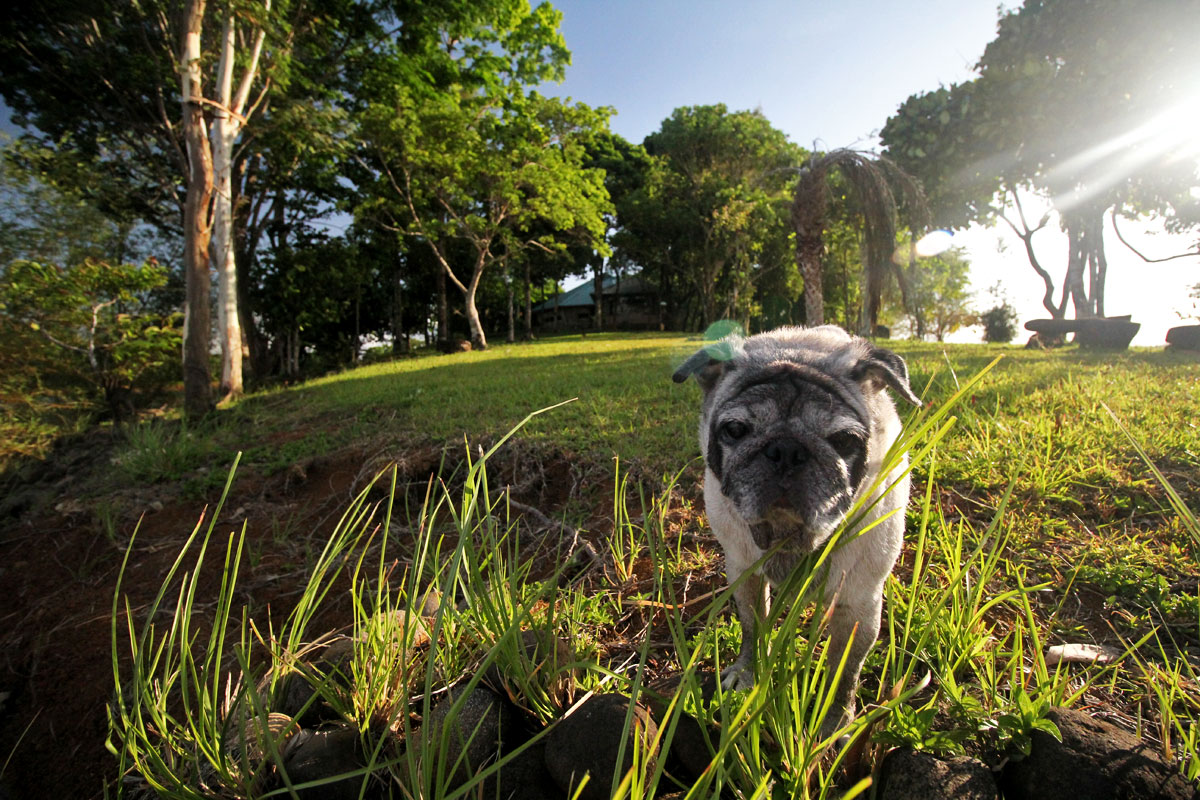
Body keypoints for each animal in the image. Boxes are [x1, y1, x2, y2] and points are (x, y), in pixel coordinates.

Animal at [676, 326, 916, 738]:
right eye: (735, 430)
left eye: (844, 440)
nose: (786, 450)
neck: (789, 535)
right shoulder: (744, 573)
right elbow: (753, 628)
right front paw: (747, 674)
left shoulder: (859, 603)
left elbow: (843, 670)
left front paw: (835, 717)